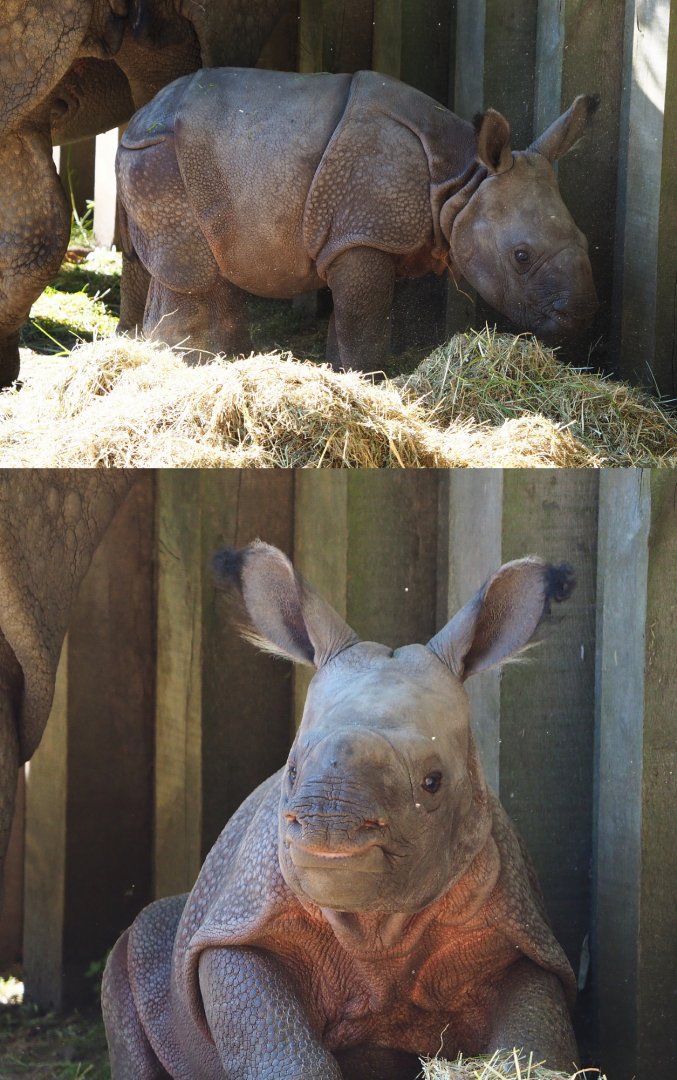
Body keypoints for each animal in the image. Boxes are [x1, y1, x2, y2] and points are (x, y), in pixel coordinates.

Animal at [102, 540, 579, 1080]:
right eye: (290, 770)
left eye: (433, 782)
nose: (328, 824)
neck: (375, 928)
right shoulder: (235, 924)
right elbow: (272, 1034)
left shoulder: (521, 934)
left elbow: (536, 1031)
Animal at [116, 67, 598, 371]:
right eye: (521, 256)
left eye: (585, 240)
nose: (579, 320)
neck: (461, 181)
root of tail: (135, 120)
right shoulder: (363, 236)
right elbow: (364, 324)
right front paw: (368, 381)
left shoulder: (366, 238)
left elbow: (349, 323)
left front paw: (338, 373)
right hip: (158, 158)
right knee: (189, 273)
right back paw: (180, 363)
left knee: (210, 271)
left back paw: (222, 361)